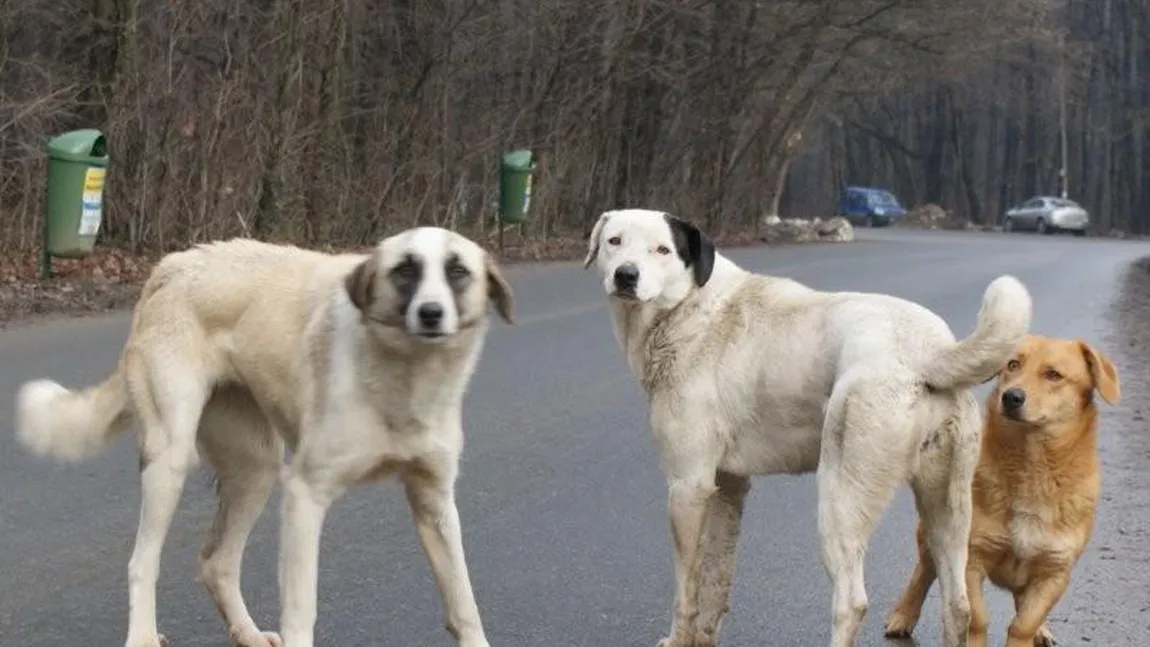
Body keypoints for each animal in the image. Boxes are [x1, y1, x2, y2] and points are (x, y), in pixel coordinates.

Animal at [13, 225, 515, 647]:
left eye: (457, 271)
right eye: (405, 270)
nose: (431, 314)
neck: (405, 375)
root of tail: (173, 265)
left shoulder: (435, 503)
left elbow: (465, 603)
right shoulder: (305, 496)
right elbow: (301, 609)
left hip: (255, 472)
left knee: (216, 563)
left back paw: (249, 634)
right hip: (170, 462)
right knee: (143, 563)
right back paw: (143, 637)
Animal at [584, 209, 1035, 647]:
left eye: (662, 249)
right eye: (614, 241)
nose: (626, 275)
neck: (691, 308)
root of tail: (930, 352)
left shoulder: (687, 487)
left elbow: (686, 587)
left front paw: (679, 639)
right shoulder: (727, 486)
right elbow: (715, 576)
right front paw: (704, 637)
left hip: (840, 501)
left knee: (852, 602)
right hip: (948, 509)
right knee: (958, 605)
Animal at [878, 333, 1122, 647]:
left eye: (1054, 374)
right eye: (1012, 364)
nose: (1011, 396)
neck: (1032, 470)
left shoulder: (1055, 573)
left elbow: (1023, 624)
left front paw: (1032, 632)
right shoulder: (971, 559)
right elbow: (977, 618)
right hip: (936, 533)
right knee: (923, 572)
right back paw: (902, 616)